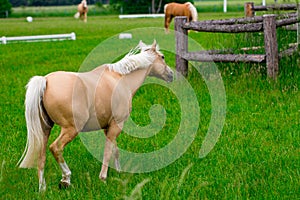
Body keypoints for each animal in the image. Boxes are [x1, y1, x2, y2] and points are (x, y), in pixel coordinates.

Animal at [18, 40, 173, 191]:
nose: (171, 75)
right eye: (163, 57)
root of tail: (45, 80)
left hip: (45, 129)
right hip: (71, 129)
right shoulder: (117, 124)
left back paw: (42, 188)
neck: (120, 79)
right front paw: (103, 178)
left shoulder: (108, 127)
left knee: (41, 157)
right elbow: (108, 151)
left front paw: (118, 172)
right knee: (56, 148)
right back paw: (66, 179)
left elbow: (115, 150)